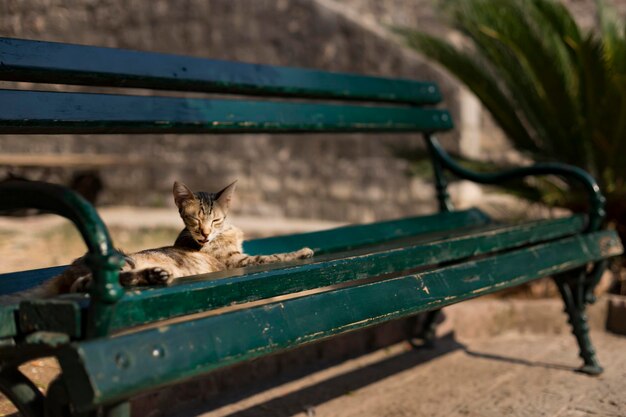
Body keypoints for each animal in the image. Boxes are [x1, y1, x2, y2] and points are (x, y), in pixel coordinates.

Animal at [14, 180, 314, 298]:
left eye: (215, 220)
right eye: (195, 220)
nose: (205, 234)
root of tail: (64, 271)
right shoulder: (238, 261)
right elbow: (273, 255)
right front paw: (302, 251)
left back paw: (156, 275)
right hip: (119, 260)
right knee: (85, 285)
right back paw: (153, 275)